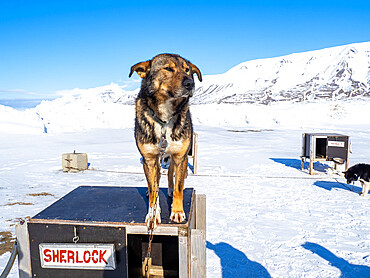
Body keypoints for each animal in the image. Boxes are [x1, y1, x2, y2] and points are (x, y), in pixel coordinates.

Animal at [128, 53, 202, 228]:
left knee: (169, 174)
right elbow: (153, 188)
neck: (164, 119)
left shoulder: (181, 157)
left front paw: (177, 211)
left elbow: (179, 187)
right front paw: (153, 214)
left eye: (187, 70)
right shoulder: (149, 158)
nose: (190, 83)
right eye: (168, 68)